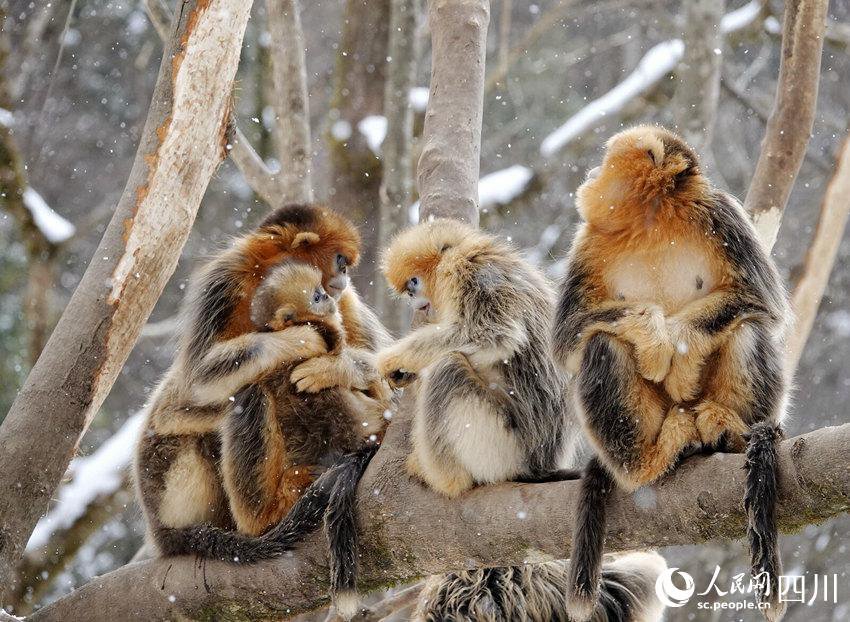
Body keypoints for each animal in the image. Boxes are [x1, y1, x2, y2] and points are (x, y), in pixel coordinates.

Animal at [380, 222, 668, 620]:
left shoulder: (475, 277)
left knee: (448, 368)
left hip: (500, 446)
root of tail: (538, 466)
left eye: (413, 283)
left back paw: (440, 476)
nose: (415, 302)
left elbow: (493, 336)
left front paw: (394, 360)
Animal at [552, 127, 792, 622]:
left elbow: (763, 304)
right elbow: (568, 337)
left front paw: (677, 349)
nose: (591, 173)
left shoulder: (721, 215)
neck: (653, 222)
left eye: (606, 159)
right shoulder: (589, 242)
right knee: (601, 345)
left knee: (749, 327)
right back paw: (650, 460)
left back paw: (727, 431)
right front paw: (655, 339)